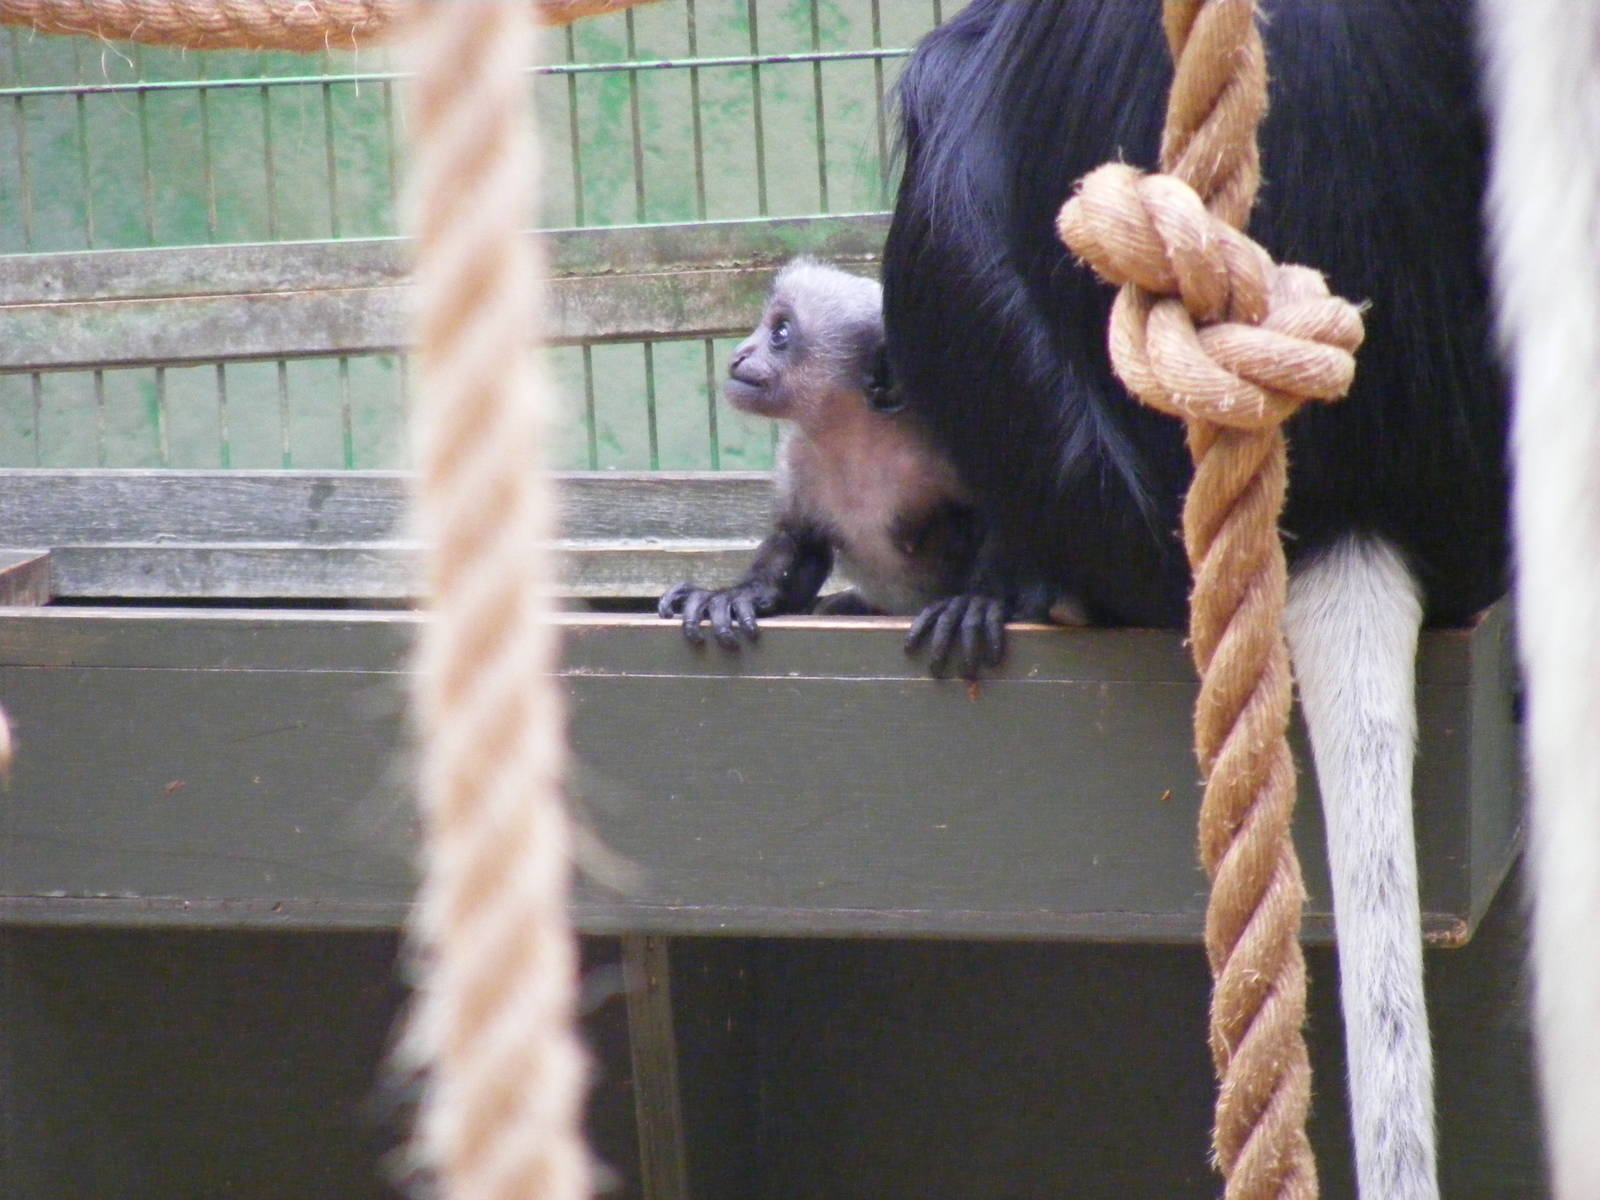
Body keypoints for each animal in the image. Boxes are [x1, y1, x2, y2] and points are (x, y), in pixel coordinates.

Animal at [658, 257, 1075, 676]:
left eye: (780, 333)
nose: (740, 353)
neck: (858, 437)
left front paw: (979, 599)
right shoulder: (797, 456)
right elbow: (799, 538)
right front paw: (738, 594)